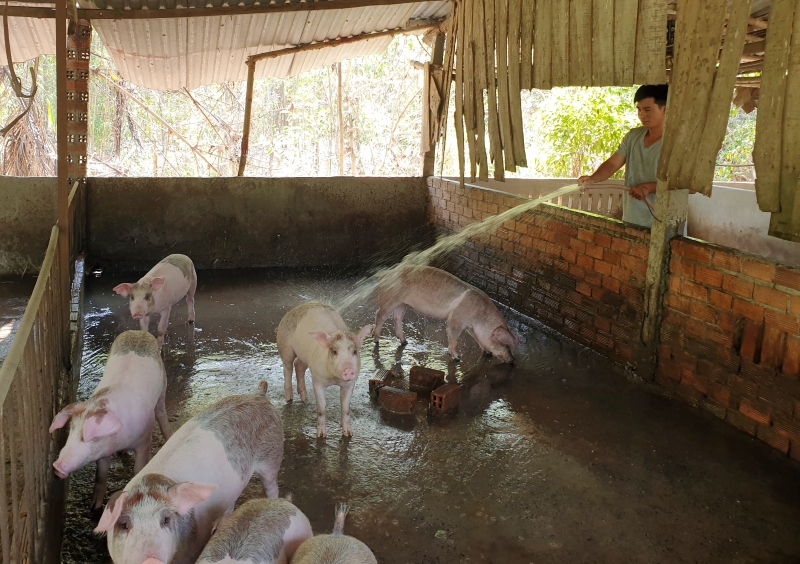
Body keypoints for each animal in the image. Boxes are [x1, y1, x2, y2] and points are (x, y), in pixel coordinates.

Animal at [48, 330, 172, 512]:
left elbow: (138, 468)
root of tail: (139, 332)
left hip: (163, 384)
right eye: (71, 431)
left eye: (90, 436)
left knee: (161, 411)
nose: (56, 466)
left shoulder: (144, 440)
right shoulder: (103, 453)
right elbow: (101, 475)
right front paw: (94, 507)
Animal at [94, 382, 284, 564]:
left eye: (166, 519)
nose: (150, 560)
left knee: (272, 487)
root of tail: (259, 395)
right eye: (125, 525)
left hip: (271, 457)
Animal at [276, 302, 374, 438]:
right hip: (284, 347)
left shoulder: (349, 384)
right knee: (287, 368)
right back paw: (289, 399)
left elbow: (346, 408)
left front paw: (348, 434)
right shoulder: (317, 380)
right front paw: (321, 435)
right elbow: (321, 408)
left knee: (298, 365)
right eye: (334, 351)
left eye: (355, 351)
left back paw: (305, 399)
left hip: (305, 357)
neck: (334, 379)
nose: (348, 369)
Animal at [374, 266, 520, 364]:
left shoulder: (470, 327)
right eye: (504, 344)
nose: (513, 360)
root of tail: (387, 273)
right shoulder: (455, 320)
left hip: (401, 304)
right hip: (389, 299)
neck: (480, 317)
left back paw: (405, 342)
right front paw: (457, 357)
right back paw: (376, 340)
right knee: (379, 315)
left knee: (397, 318)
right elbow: (453, 338)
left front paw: (487, 352)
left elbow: (477, 338)